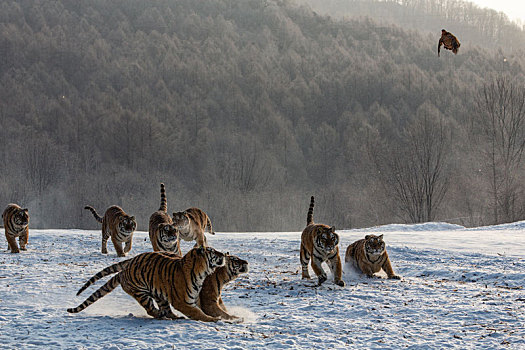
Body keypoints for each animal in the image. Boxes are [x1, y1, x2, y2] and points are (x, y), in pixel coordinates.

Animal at [66, 245, 224, 322]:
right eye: (213, 252)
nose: (223, 254)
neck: (201, 273)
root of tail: (125, 268)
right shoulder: (183, 302)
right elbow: (199, 313)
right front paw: (214, 320)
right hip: (141, 292)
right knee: (151, 309)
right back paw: (160, 315)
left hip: (159, 295)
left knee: (166, 309)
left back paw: (173, 316)